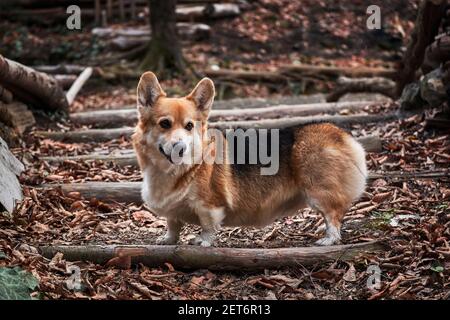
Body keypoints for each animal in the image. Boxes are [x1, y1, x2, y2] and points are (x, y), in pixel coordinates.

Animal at [132, 72, 368, 246]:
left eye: (189, 126)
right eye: (165, 124)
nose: (180, 148)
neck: (178, 170)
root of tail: (341, 134)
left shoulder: (209, 206)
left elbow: (208, 226)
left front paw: (203, 241)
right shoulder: (172, 212)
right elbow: (173, 225)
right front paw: (168, 239)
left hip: (318, 190)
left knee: (333, 214)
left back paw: (328, 239)